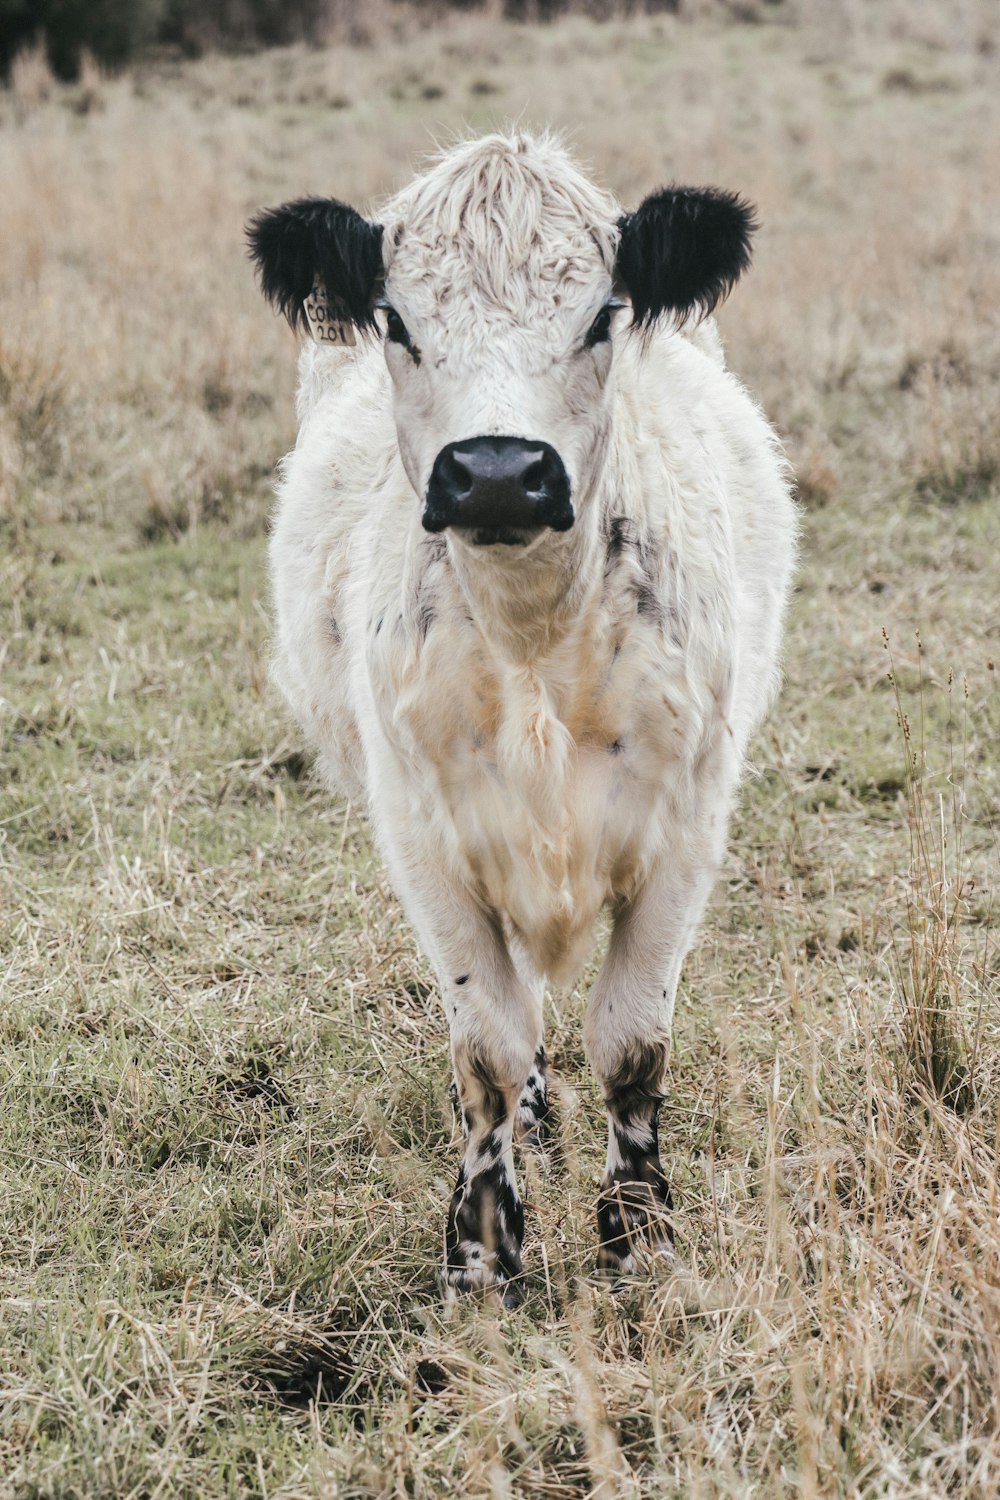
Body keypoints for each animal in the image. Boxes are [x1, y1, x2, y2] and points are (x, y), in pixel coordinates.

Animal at [250, 129, 797, 1302]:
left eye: (600, 316)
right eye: (397, 322)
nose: (496, 473)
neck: (536, 638)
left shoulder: (685, 827)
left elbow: (632, 1041)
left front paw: (638, 1233)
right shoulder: (427, 841)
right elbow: (488, 1050)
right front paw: (482, 1248)